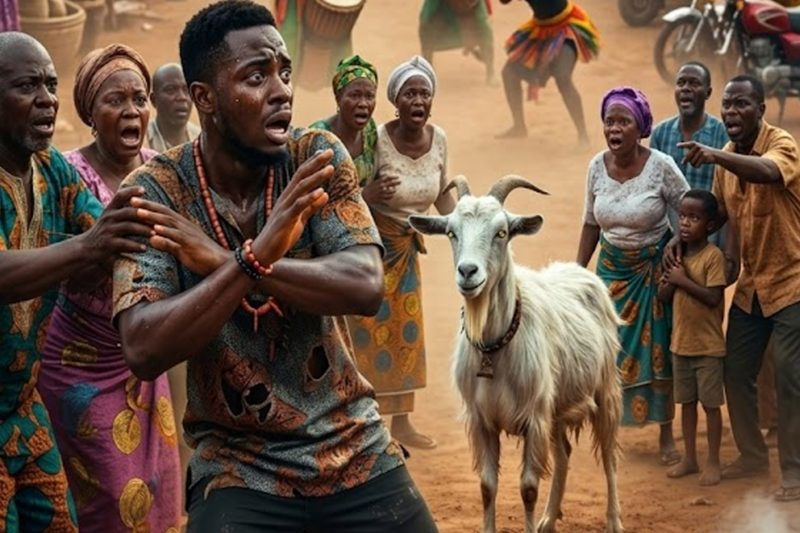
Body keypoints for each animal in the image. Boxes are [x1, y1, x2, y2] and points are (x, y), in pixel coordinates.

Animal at [408, 175, 624, 533]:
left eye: (502, 232)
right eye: (452, 232)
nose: (468, 272)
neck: (496, 347)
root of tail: (580, 272)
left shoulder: (534, 418)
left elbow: (528, 488)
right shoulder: (482, 420)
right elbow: (487, 486)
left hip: (604, 390)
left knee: (608, 454)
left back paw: (614, 521)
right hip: (557, 406)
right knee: (564, 452)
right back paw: (549, 519)